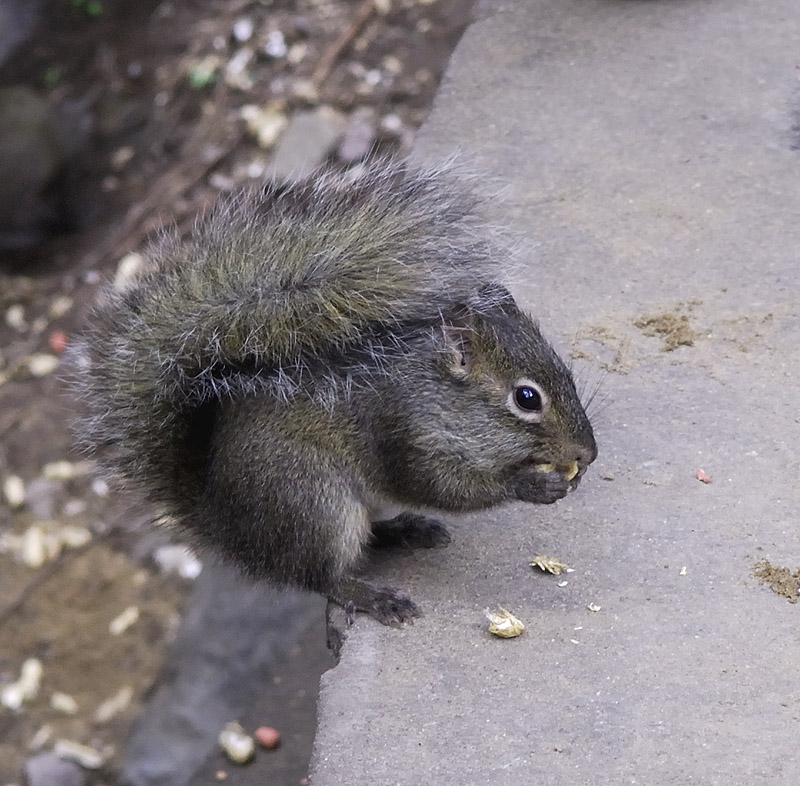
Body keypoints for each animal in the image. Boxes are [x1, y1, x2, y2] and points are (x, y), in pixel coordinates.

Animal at [73, 158, 592, 624]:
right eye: (527, 398)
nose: (588, 454)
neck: (437, 394)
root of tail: (230, 529)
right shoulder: (402, 431)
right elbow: (441, 486)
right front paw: (532, 483)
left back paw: (406, 529)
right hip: (313, 501)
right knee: (319, 576)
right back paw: (373, 597)